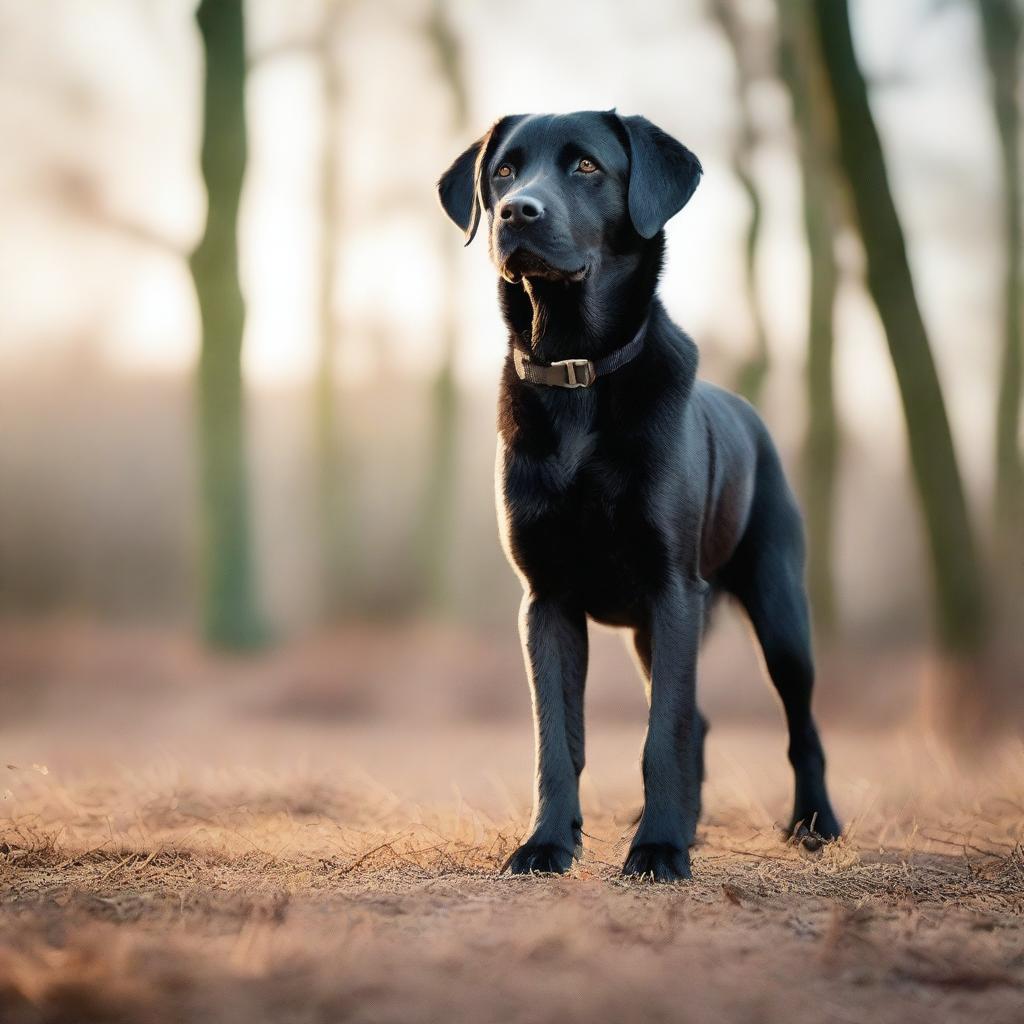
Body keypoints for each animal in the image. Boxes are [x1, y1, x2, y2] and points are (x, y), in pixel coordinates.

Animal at [440, 110, 839, 880]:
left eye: (586, 167)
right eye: (503, 171)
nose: (515, 213)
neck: (578, 375)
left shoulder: (671, 587)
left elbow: (663, 735)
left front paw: (657, 850)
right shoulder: (547, 600)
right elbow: (558, 741)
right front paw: (548, 844)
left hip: (778, 613)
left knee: (798, 724)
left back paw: (814, 824)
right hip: (651, 634)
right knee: (699, 719)